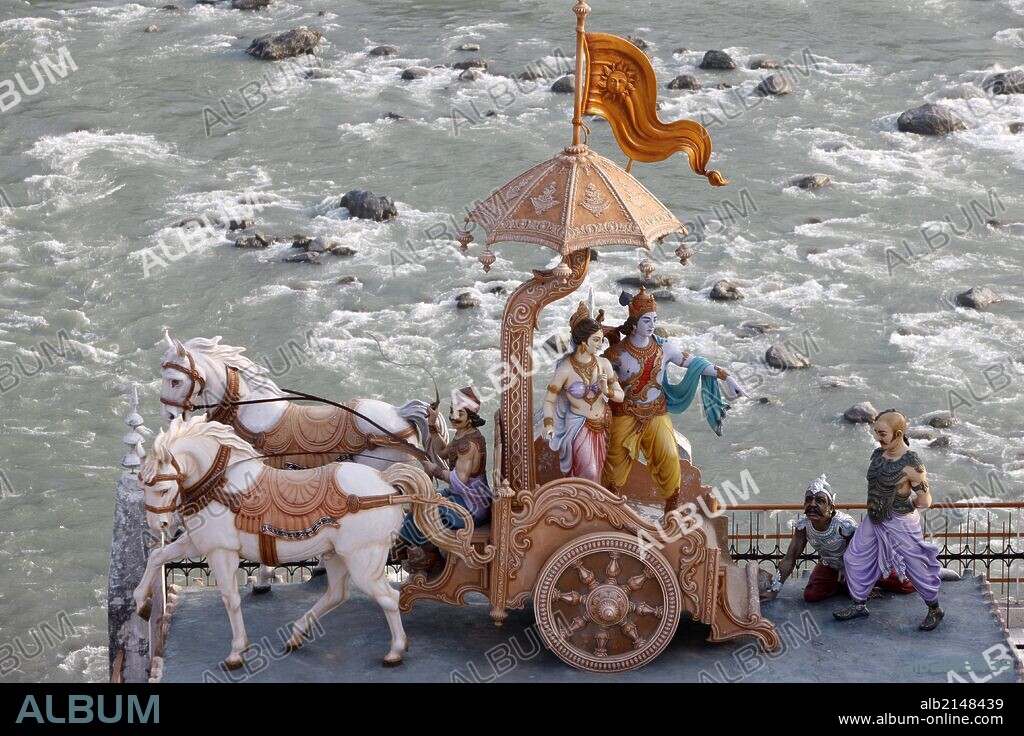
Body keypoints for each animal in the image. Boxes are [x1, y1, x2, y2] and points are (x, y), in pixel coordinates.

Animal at [133, 417, 436, 671]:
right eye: (142, 486)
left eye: (161, 488)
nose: (160, 526)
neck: (223, 487)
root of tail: (385, 484)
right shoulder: (199, 544)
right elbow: (158, 557)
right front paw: (141, 602)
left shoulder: (221, 551)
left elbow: (230, 599)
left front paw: (236, 653)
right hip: (337, 554)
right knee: (337, 594)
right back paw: (296, 634)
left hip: (363, 559)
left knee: (389, 599)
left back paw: (395, 651)